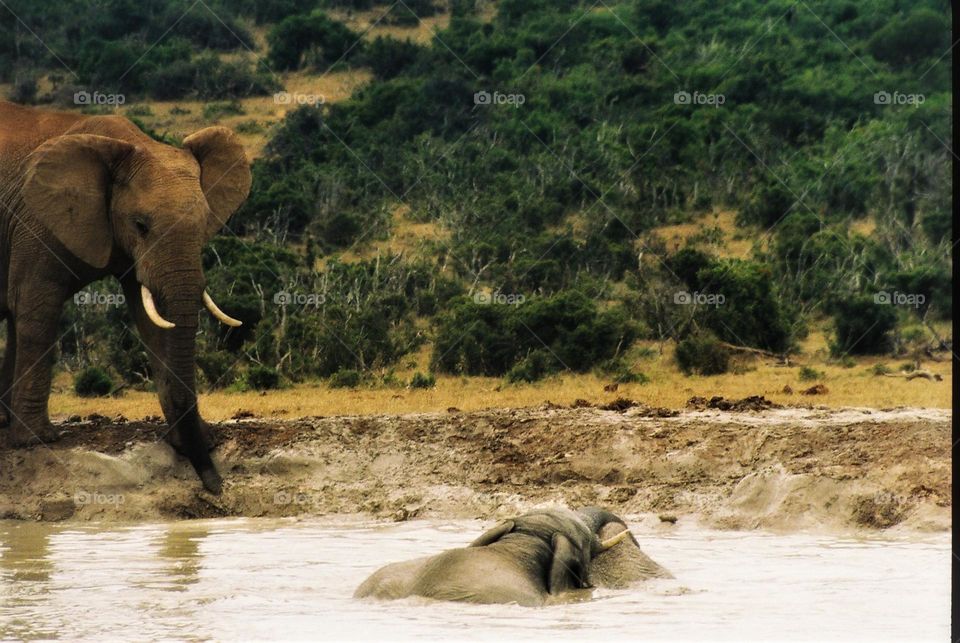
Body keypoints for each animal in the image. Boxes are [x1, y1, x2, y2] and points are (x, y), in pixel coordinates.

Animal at [0, 100, 250, 493]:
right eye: (140, 226)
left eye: (203, 225)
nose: (215, 486)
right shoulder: (34, 221)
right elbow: (35, 307)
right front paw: (36, 440)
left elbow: (153, 321)